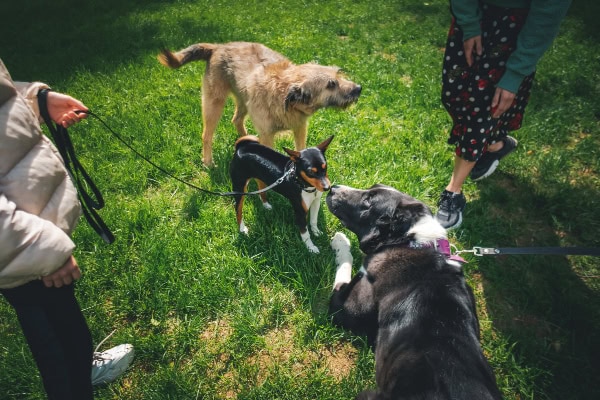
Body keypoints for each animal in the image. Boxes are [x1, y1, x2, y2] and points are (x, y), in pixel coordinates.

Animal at [157, 43, 360, 168]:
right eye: (331, 84)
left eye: (338, 74)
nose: (359, 88)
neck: (285, 94)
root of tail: (218, 47)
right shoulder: (268, 135)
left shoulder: (300, 128)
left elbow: (301, 148)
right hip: (214, 104)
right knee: (207, 135)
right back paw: (208, 162)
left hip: (244, 101)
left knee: (236, 120)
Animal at [326, 184, 504, 400]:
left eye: (369, 200)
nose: (333, 187)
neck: (408, 241)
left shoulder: (345, 306)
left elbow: (345, 263)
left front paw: (340, 241)